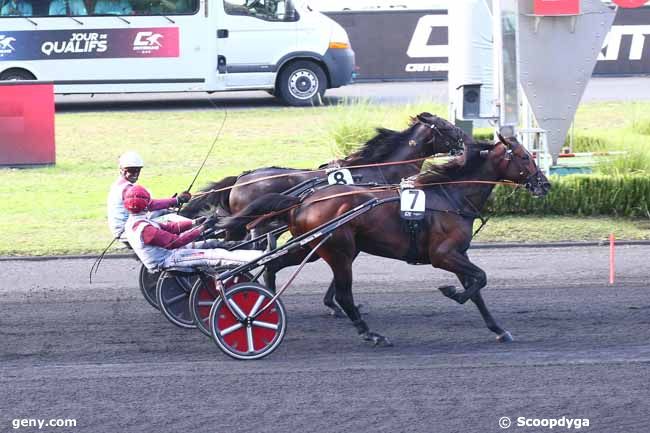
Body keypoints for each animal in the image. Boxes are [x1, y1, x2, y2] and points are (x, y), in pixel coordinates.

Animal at [215, 133, 548, 346]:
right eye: (523, 156)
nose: (544, 184)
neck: (449, 196)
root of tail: (303, 200)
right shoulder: (443, 254)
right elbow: (480, 278)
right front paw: (451, 292)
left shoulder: (458, 255)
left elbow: (477, 287)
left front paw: (498, 329)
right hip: (338, 251)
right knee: (344, 294)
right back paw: (369, 333)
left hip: (311, 246)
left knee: (273, 266)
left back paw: (265, 304)